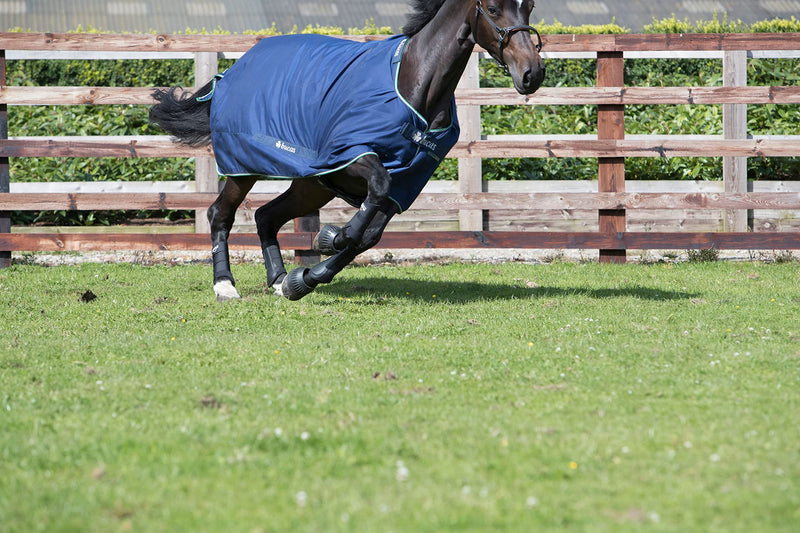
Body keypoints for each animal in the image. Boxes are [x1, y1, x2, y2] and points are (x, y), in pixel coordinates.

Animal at [148, 0, 548, 300]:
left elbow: (369, 236)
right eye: (493, 9)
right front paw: (331, 238)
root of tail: (230, 73)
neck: (414, 84)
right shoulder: (351, 157)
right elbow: (368, 208)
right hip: (244, 167)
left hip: (312, 184)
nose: (532, 74)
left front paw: (303, 279)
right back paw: (225, 286)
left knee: (266, 216)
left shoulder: (404, 186)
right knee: (220, 214)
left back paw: (278, 280)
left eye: (529, 6)